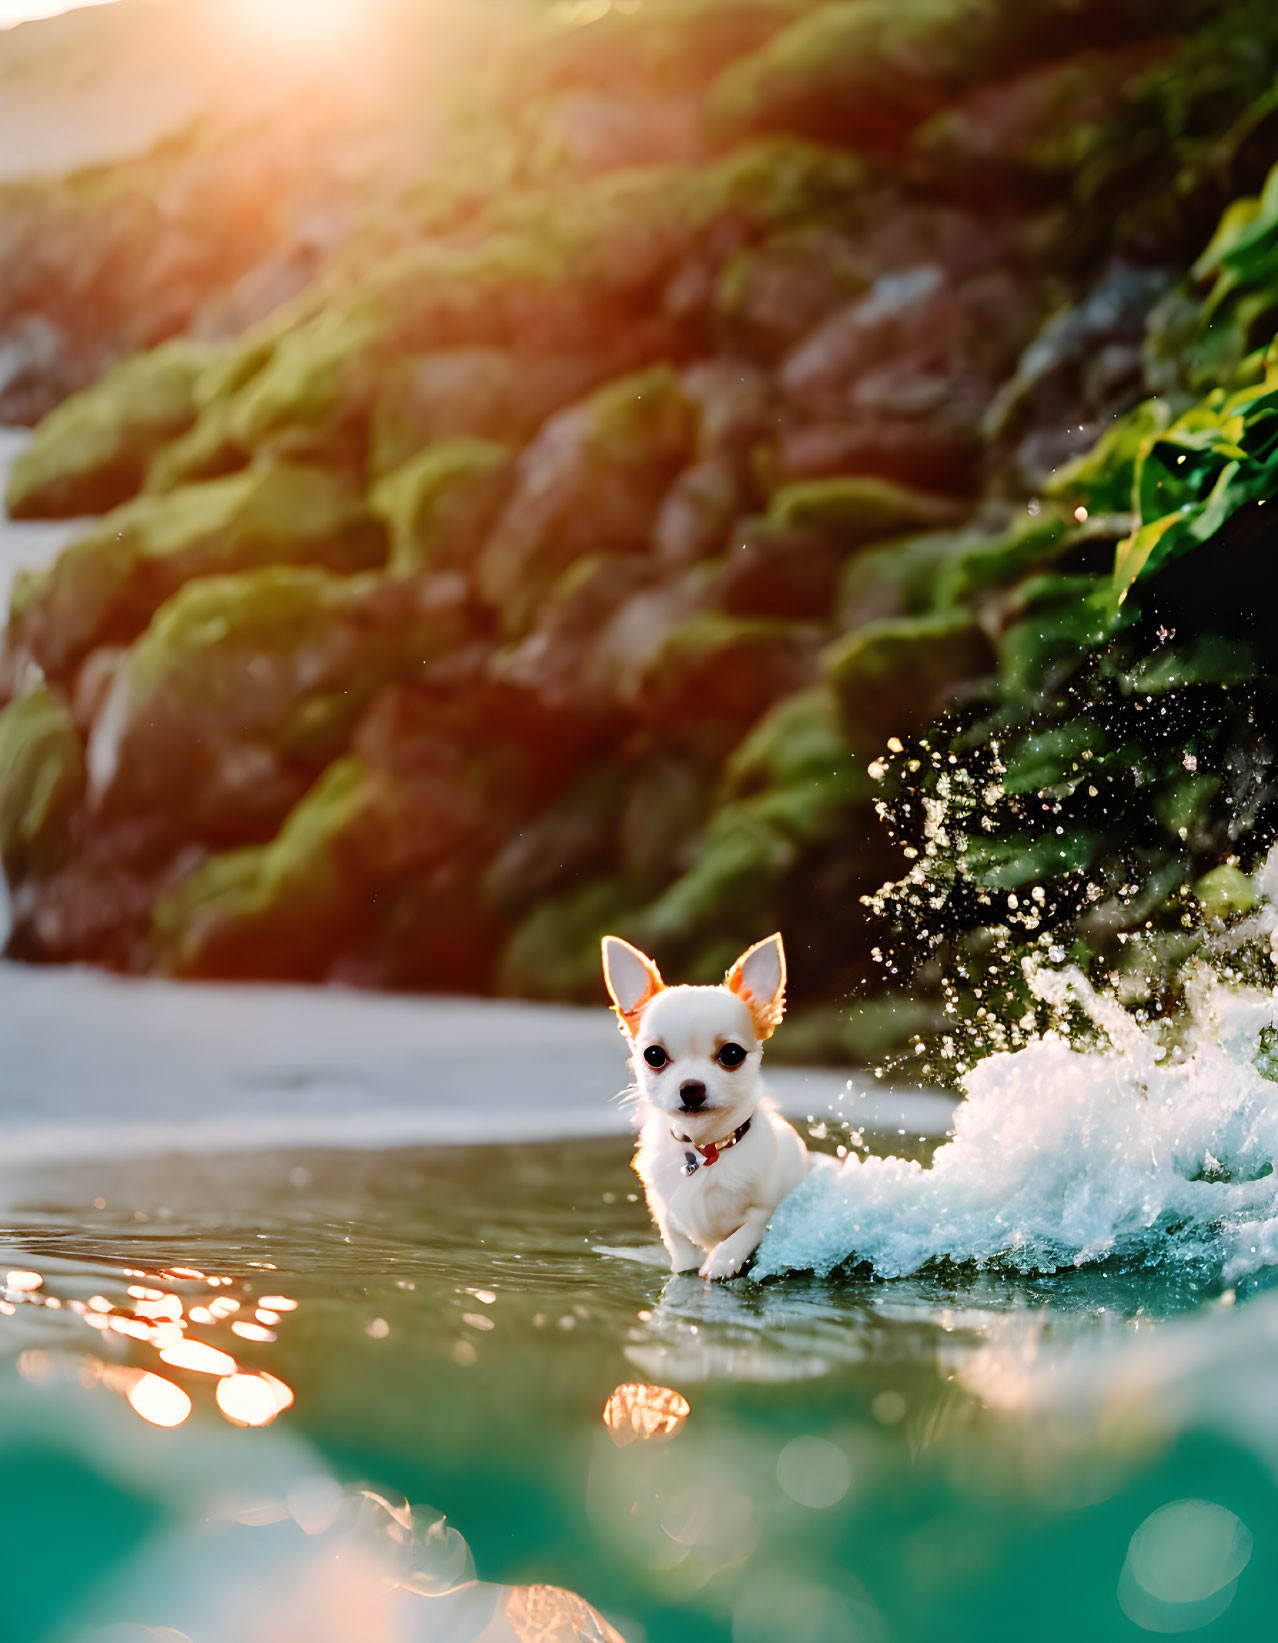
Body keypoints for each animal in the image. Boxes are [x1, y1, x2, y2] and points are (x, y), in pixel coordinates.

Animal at [601, 933, 808, 1274]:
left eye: (732, 1054)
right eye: (653, 1055)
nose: (691, 1088)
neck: (704, 1149)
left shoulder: (767, 1210)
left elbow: (746, 1232)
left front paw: (722, 1262)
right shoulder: (668, 1216)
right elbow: (680, 1252)